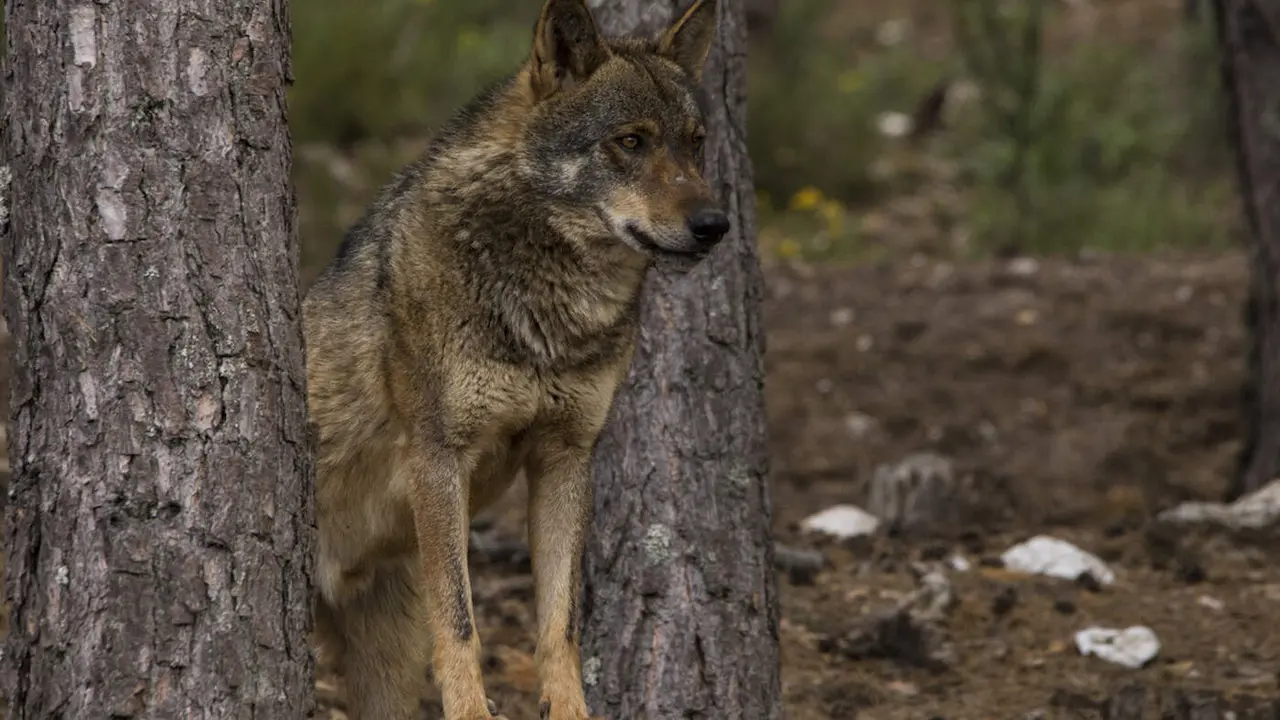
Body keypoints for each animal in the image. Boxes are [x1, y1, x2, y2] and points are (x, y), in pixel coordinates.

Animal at [301, 0, 728, 718]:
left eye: (695, 143)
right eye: (631, 142)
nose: (714, 225)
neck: (552, 313)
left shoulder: (565, 456)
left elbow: (561, 625)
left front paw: (572, 709)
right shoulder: (439, 457)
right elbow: (461, 622)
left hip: (386, 671)